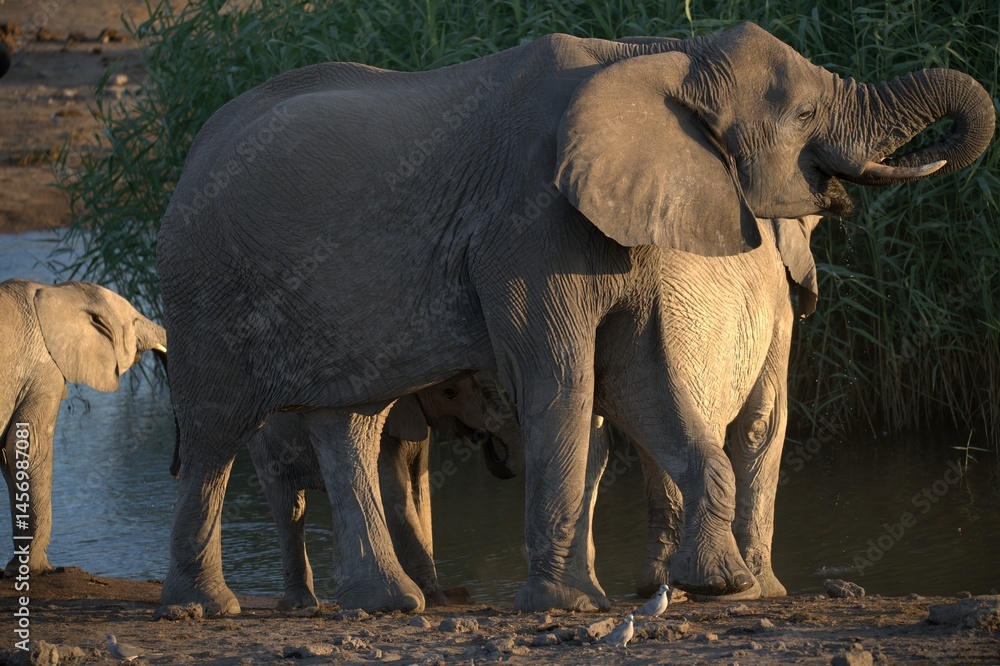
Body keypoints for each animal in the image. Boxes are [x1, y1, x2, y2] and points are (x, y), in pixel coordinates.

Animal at [243, 374, 521, 610]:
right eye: (449, 392)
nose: (481, 436)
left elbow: (420, 492)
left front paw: (439, 597)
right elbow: (393, 492)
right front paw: (434, 599)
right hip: (264, 445)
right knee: (290, 509)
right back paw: (300, 606)